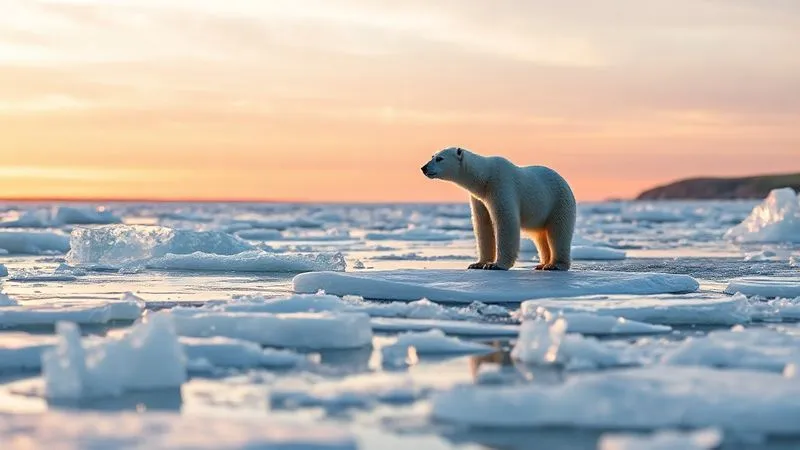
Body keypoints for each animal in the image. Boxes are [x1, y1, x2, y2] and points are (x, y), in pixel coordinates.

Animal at [421, 146, 576, 271]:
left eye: (440, 158)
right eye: (432, 156)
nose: (424, 167)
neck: (484, 177)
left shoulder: (501, 185)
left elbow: (506, 221)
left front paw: (495, 265)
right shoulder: (479, 198)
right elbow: (483, 225)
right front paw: (478, 264)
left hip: (558, 202)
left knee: (558, 232)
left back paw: (554, 265)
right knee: (540, 236)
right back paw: (542, 264)